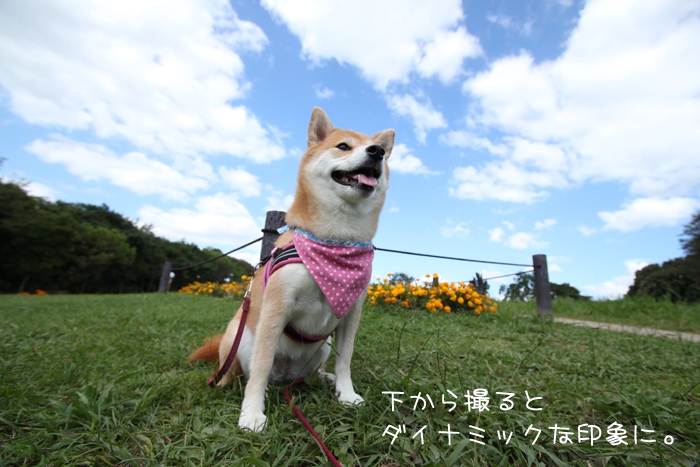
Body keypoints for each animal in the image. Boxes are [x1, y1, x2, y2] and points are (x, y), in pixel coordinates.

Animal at [187, 108, 394, 434]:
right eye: (343, 146)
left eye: (381, 154)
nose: (377, 151)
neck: (335, 240)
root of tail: (284, 377)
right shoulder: (277, 306)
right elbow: (259, 369)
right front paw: (252, 413)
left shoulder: (351, 314)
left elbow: (345, 359)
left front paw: (347, 394)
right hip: (239, 336)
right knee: (241, 371)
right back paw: (225, 382)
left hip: (321, 348)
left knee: (311, 374)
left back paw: (324, 379)